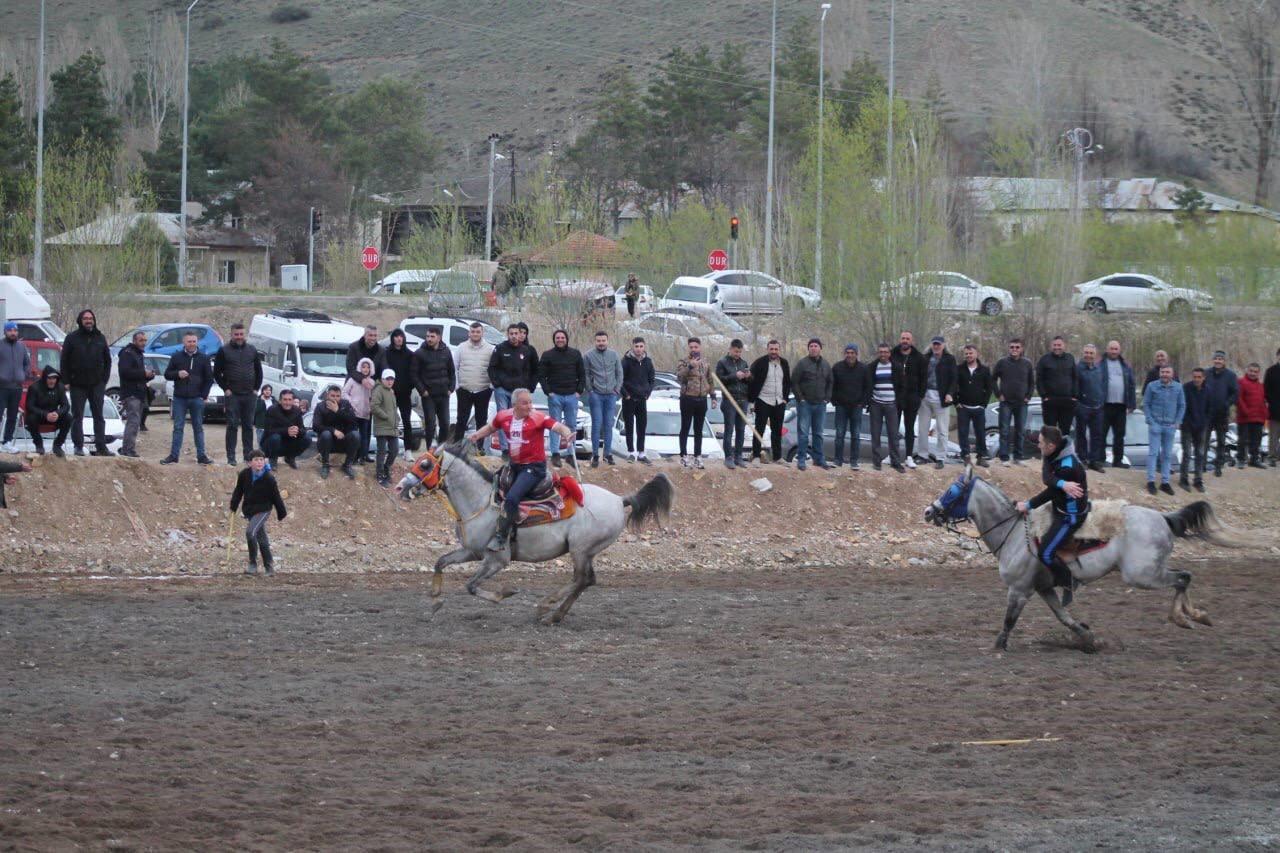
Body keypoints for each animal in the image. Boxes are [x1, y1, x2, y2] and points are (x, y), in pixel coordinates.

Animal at [396, 440, 675, 622]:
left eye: (424, 464)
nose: (399, 487)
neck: (480, 502)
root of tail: (619, 499)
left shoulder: (496, 560)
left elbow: (471, 586)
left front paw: (504, 594)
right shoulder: (470, 551)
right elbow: (440, 562)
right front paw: (435, 600)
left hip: (580, 549)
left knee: (582, 579)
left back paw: (545, 607)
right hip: (585, 551)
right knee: (587, 580)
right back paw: (555, 615)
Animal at [926, 466, 1223, 650]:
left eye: (952, 491)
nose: (929, 511)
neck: (1015, 533)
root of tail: (1162, 517)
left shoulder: (1019, 590)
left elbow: (1009, 619)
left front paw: (998, 645)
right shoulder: (1044, 588)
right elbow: (1064, 617)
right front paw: (1089, 638)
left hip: (1142, 575)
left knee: (1183, 578)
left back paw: (1186, 617)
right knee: (1184, 577)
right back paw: (1193, 617)